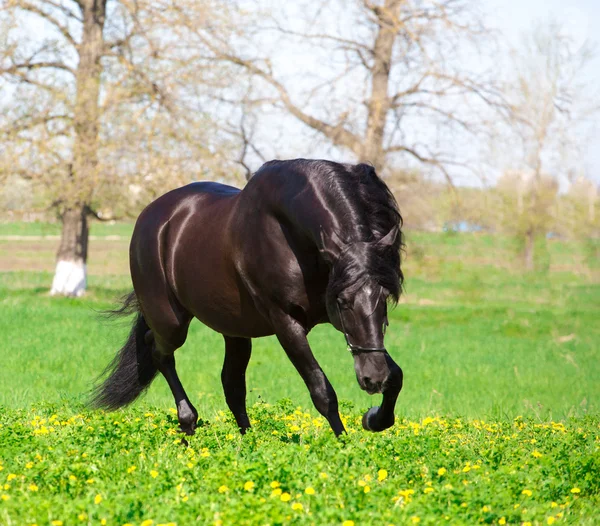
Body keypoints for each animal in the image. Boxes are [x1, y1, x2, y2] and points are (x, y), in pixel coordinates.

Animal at [91, 159, 406, 440]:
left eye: (385, 298)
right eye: (343, 301)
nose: (372, 379)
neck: (290, 234)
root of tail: (151, 216)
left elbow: (397, 375)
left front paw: (374, 419)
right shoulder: (286, 323)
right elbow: (322, 391)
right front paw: (344, 447)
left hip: (234, 329)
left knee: (231, 385)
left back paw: (246, 440)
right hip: (171, 321)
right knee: (159, 353)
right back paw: (187, 424)